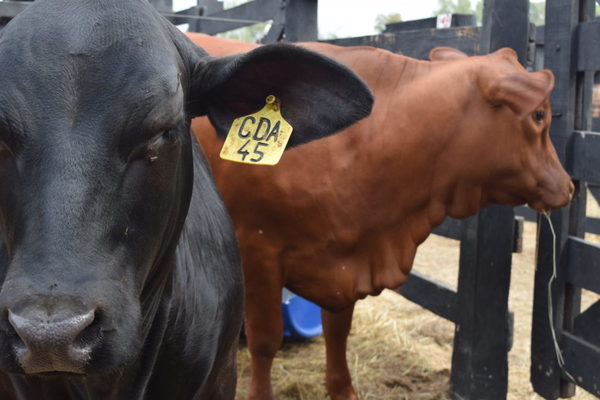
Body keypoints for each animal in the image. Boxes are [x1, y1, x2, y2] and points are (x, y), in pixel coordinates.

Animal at [188, 32, 572, 398]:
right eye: (539, 115)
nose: (568, 186)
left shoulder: (344, 257)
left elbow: (338, 332)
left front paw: (343, 390)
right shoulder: (259, 252)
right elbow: (266, 340)